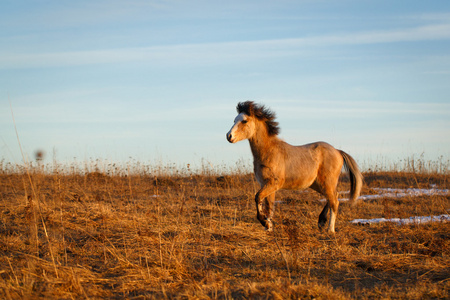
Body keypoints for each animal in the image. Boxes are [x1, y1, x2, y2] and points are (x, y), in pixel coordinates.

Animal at [227, 101, 364, 232]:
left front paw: (264, 222)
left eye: (244, 121)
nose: (229, 136)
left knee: (334, 201)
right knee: (332, 198)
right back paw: (321, 222)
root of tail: (337, 151)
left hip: (327, 183)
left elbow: (258, 198)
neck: (269, 152)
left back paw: (330, 230)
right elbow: (269, 206)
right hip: (317, 184)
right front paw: (268, 228)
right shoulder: (266, 185)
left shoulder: (273, 183)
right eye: (234, 120)